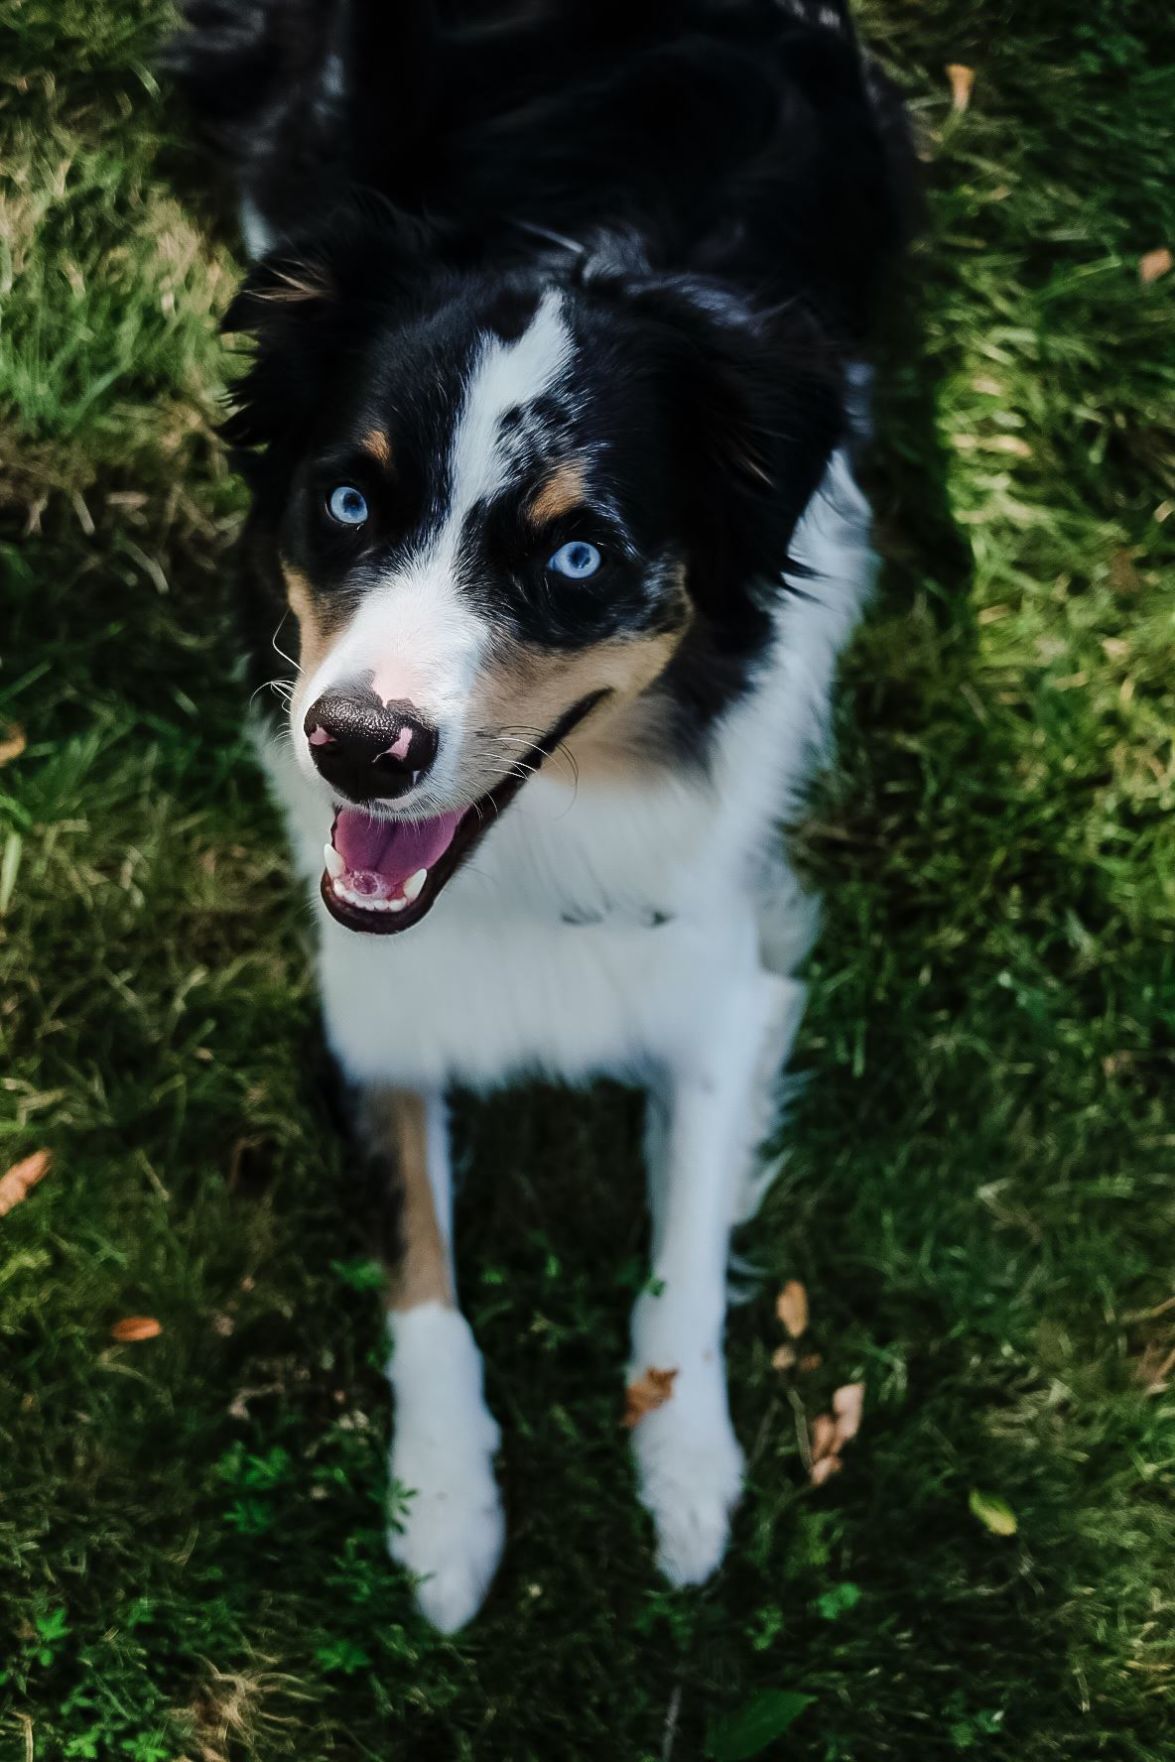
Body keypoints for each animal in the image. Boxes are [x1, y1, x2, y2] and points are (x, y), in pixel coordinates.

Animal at [169, 0, 916, 1621]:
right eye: (346, 501)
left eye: (576, 559)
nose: (354, 747)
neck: (530, 841)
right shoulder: (368, 1014)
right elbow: (424, 1282)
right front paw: (445, 1513)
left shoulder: (727, 981)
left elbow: (682, 1259)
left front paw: (685, 1475)